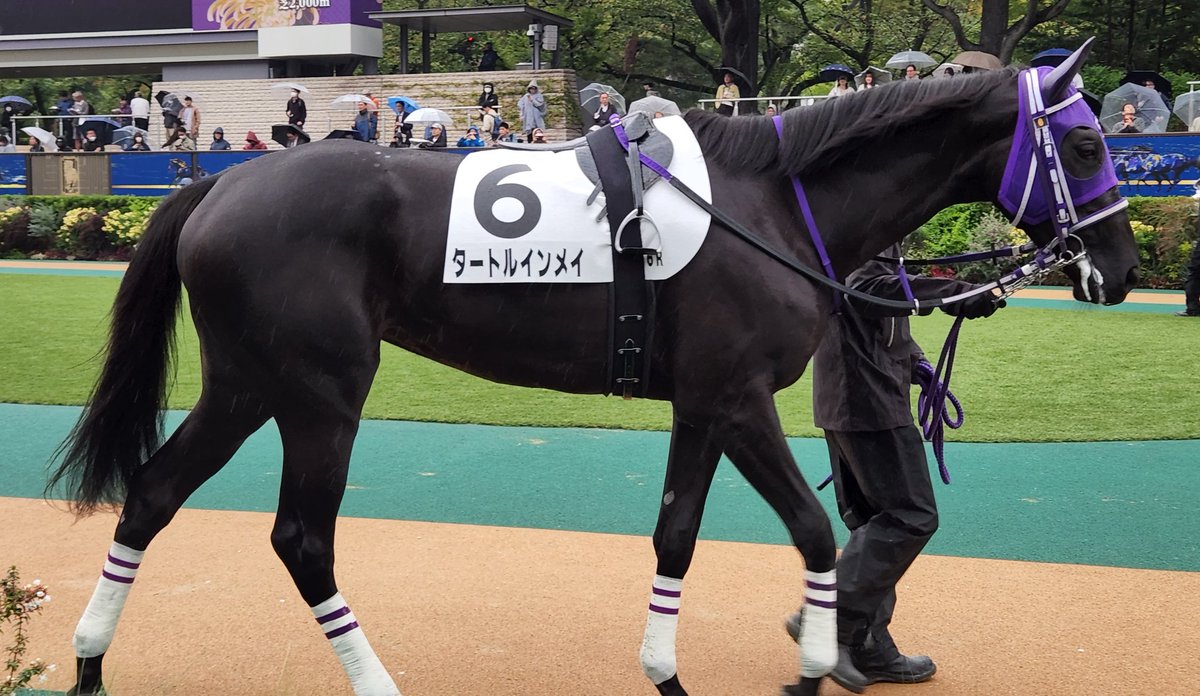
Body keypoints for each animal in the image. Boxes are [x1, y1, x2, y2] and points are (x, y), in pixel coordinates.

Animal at [49, 45, 1138, 696]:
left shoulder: (704, 404)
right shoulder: (741, 398)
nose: (1121, 270)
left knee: (151, 494)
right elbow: (816, 528)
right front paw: (813, 663)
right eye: (1087, 142)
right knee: (301, 539)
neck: (770, 200)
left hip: (245, 385)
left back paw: (93, 662)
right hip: (320, 393)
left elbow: (677, 536)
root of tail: (219, 186)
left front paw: (667, 671)